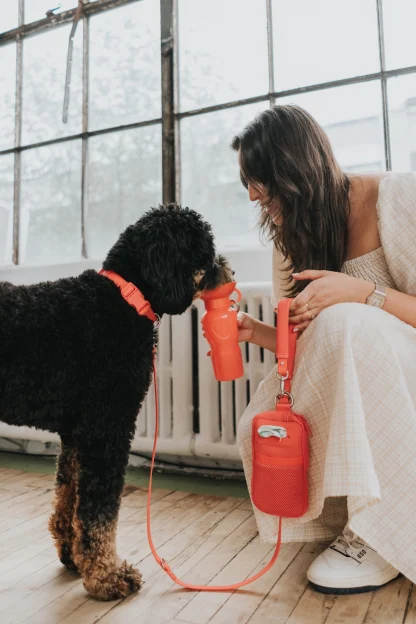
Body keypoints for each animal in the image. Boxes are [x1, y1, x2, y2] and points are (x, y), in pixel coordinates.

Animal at [0, 205, 234, 600]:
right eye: (206, 250)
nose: (230, 270)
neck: (125, 297)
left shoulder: (75, 434)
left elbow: (69, 498)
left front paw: (72, 555)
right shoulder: (106, 429)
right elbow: (100, 513)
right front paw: (107, 575)